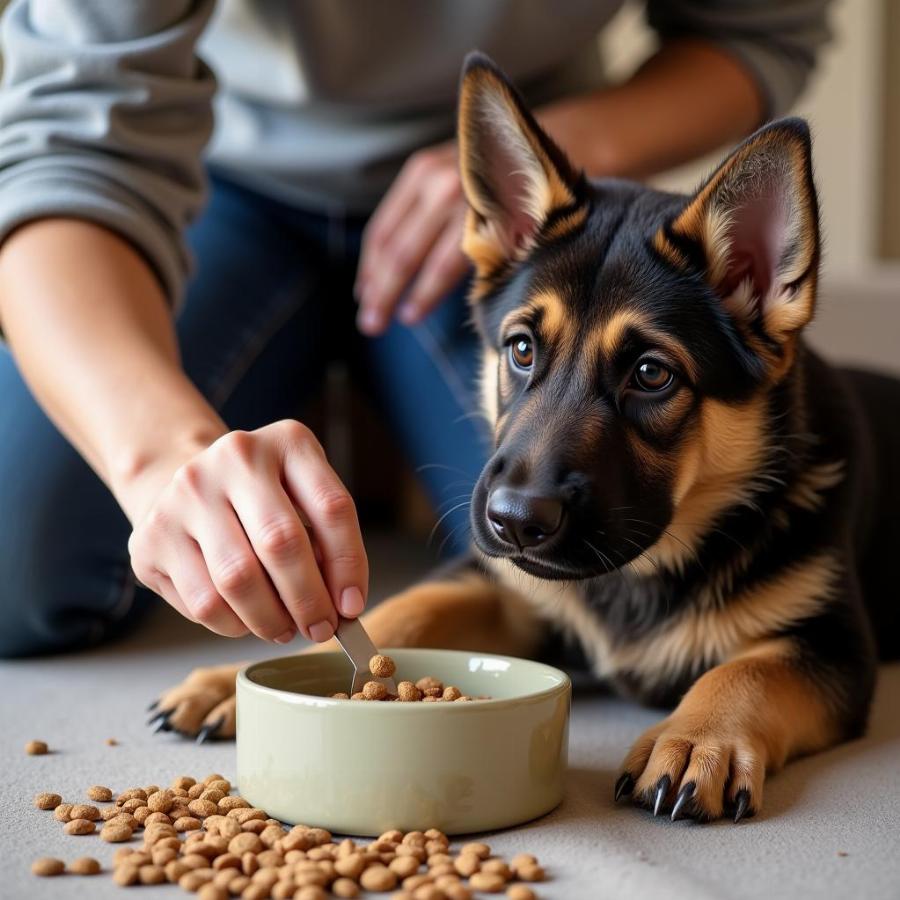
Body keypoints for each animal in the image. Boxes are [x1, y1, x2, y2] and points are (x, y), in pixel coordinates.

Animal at [155, 54, 892, 824]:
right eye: (521, 349)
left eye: (652, 374)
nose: (513, 523)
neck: (647, 568)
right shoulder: (505, 589)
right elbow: (401, 610)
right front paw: (233, 677)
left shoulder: (831, 645)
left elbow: (747, 672)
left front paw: (697, 738)